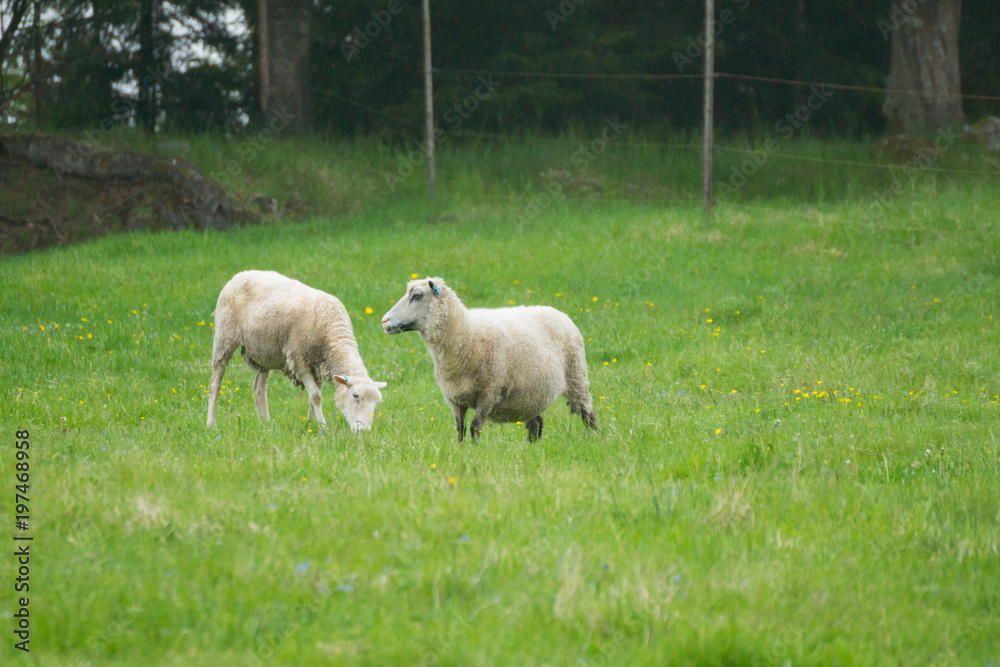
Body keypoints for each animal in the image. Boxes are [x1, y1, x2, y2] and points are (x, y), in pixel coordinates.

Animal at [206, 270, 386, 431]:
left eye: (377, 403)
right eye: (355, 396)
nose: (363, 431)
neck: (333, 329)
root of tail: (240, 274)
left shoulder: (317, 364)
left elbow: (314, 395)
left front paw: (312, 422)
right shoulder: (300, 361)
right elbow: (316, 396)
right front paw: (322, 426)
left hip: (264, 351)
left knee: (259, 388)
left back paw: (266, 423)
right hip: (224, 337)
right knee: (215, 384)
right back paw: (211, 424)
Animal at [381, 277, 596, 442]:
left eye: (416, 296)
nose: (384, 321)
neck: (466, 334)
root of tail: (559, 312)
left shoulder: (488, 392)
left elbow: (475, 427)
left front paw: (474, 452)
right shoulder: (454, 398)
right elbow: (459, 430)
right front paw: (461, 451)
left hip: (576, 375)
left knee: (588, 413)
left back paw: (594, 437)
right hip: (531, 392)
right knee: (536, 422)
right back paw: (533, 447)